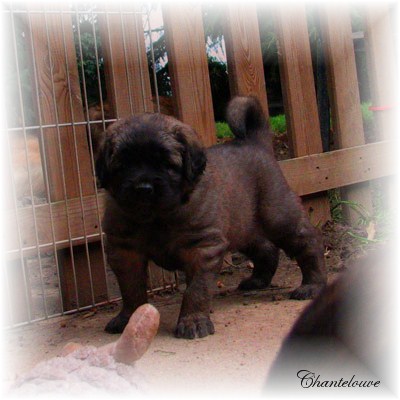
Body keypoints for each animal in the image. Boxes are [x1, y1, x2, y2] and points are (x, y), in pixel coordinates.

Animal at [96, 96, 324, 338]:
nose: (143, 188)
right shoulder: (125, 251)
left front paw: (193, 321)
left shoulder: (202, 248)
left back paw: (312, 285)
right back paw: (258, 280)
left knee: (308, 243)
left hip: (279, 217)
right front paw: (128, 318)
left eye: (166, 164)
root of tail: (255, 142)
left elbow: (196, 289)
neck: (157, 218)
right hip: (242, 227)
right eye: (123, 165)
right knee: (266, 248)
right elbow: (131, 290)